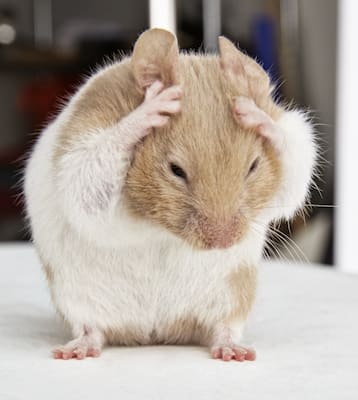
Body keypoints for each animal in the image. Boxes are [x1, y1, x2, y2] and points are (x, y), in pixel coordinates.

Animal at [24, 27, 316, 360]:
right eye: (176, 170)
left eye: (253, 166)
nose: (222, 243)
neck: (160, 227)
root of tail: (155, 332)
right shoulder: (80, 157)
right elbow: (98, 163)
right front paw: (152, 108)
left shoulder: (291, 170)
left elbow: (291, 169)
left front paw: (253, 114)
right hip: (77, 299)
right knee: (91, 330)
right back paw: (75, 351)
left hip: (231, 297)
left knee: (223, 328)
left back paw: (234, 352)